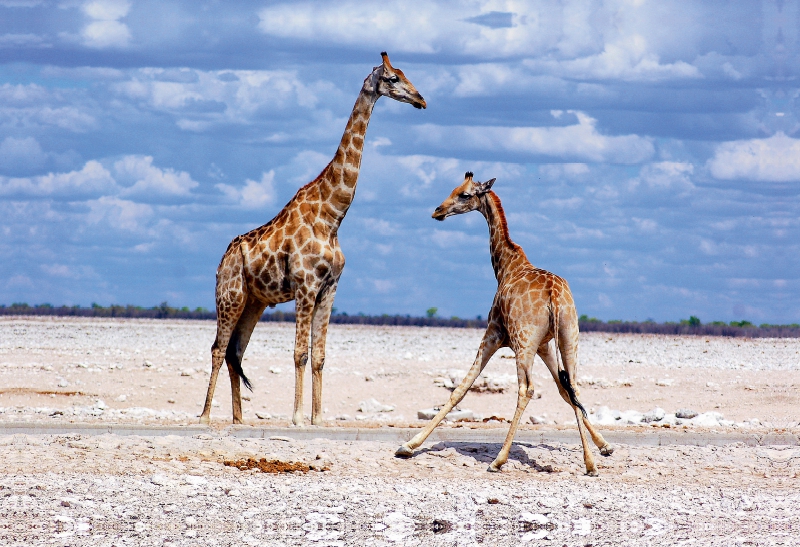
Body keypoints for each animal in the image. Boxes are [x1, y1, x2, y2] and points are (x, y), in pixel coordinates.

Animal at [199, 52, 424, 428]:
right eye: (393, 78)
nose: (421, 100)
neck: (332, 216)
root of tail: (221, 261)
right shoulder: (305, 286)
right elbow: (299, 353)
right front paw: (297, 417)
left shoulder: (329, 288)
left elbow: (319, 355)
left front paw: (318, 417)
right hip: (230, 296)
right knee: (218, 348)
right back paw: (203, 416)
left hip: (254, 301)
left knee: (236, 351)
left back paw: (238, 419)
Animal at [396, 172, 616, 476]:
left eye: (464, 194)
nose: (437, 211)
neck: (505, 266)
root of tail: (554, 295)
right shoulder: (544, 345)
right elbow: (565, 391)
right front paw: (603, 446)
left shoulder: (494, 333)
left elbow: (461, 389)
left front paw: (409, 445)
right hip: (569, 337)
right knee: (573, 385)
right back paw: (590, 464)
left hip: (523, 342)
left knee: (526, 389)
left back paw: (498, 459)